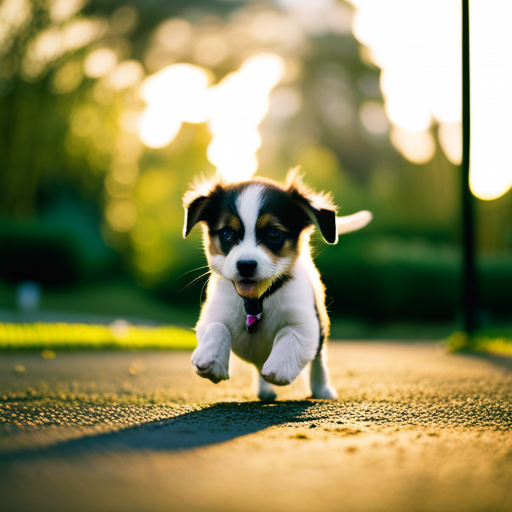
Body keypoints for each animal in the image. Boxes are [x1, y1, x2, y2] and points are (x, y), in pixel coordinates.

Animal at [182, 170, 370, 402]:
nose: (245, 265)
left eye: (274, 234)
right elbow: (217, 327)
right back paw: (264, 391)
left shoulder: (306, 325)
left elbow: (290, 337)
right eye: (227, 234)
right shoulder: (211, 315)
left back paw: (322, 389)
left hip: (321, 326)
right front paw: (211, 361)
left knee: (319, 361)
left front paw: (278, 369)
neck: (257, 300)